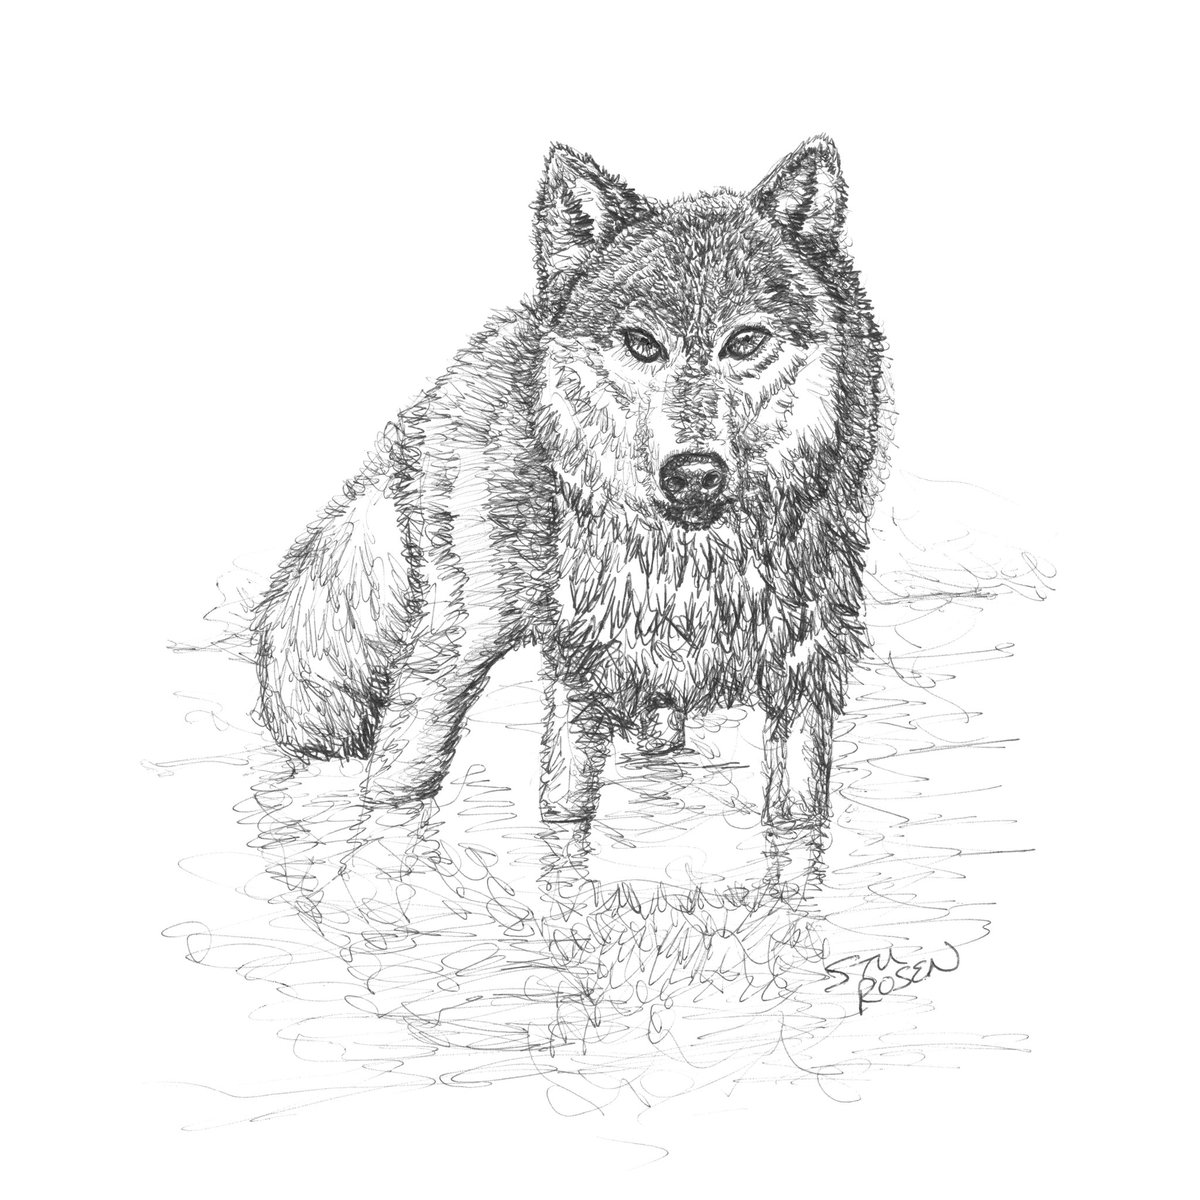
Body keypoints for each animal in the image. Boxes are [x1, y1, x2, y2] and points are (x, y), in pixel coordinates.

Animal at [253, 136, 891, 824]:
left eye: (746, 341)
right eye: (642, 344)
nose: (694, 475)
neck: (695, 566)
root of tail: (445, 384)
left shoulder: (805, 678)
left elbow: (798, 821)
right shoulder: (577, 673)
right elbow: (564, 816)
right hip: (465, 639)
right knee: (403, 747)